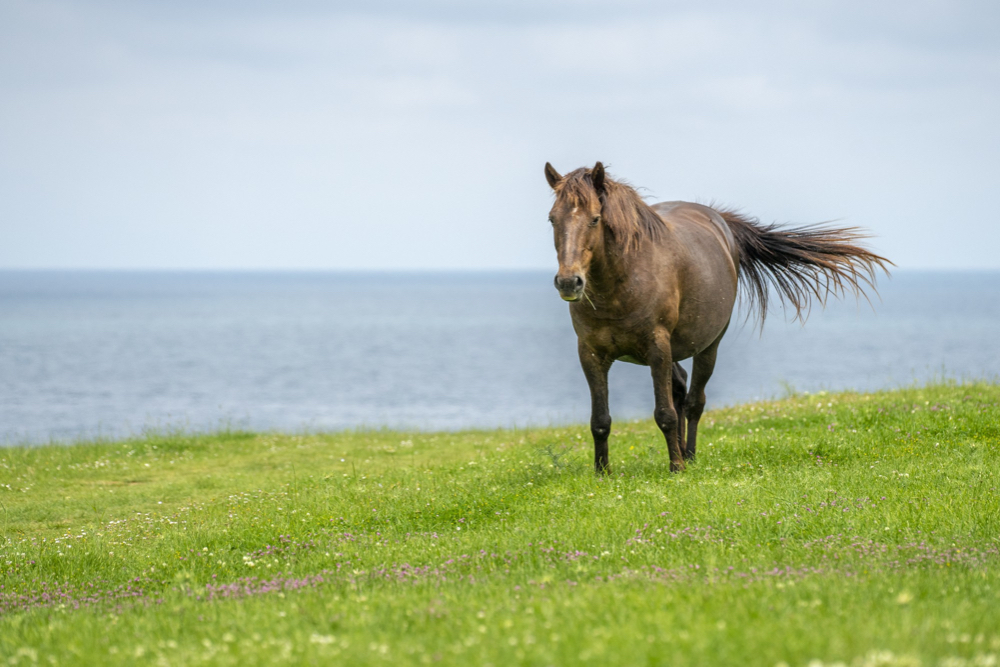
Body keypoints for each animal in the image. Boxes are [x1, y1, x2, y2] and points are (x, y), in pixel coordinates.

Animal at [548, 162, 892, 474]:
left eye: (595, 219)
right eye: (552, 219)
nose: (568, 282)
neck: (622, 281)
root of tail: (718, 220)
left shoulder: (657, 348)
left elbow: (665, 414)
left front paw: (676, 468)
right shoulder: (591, 353)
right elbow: (600, 420)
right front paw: (602, 473)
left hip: (707, 346)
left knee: (693, 401)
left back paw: (688, 456)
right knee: (680, 389)